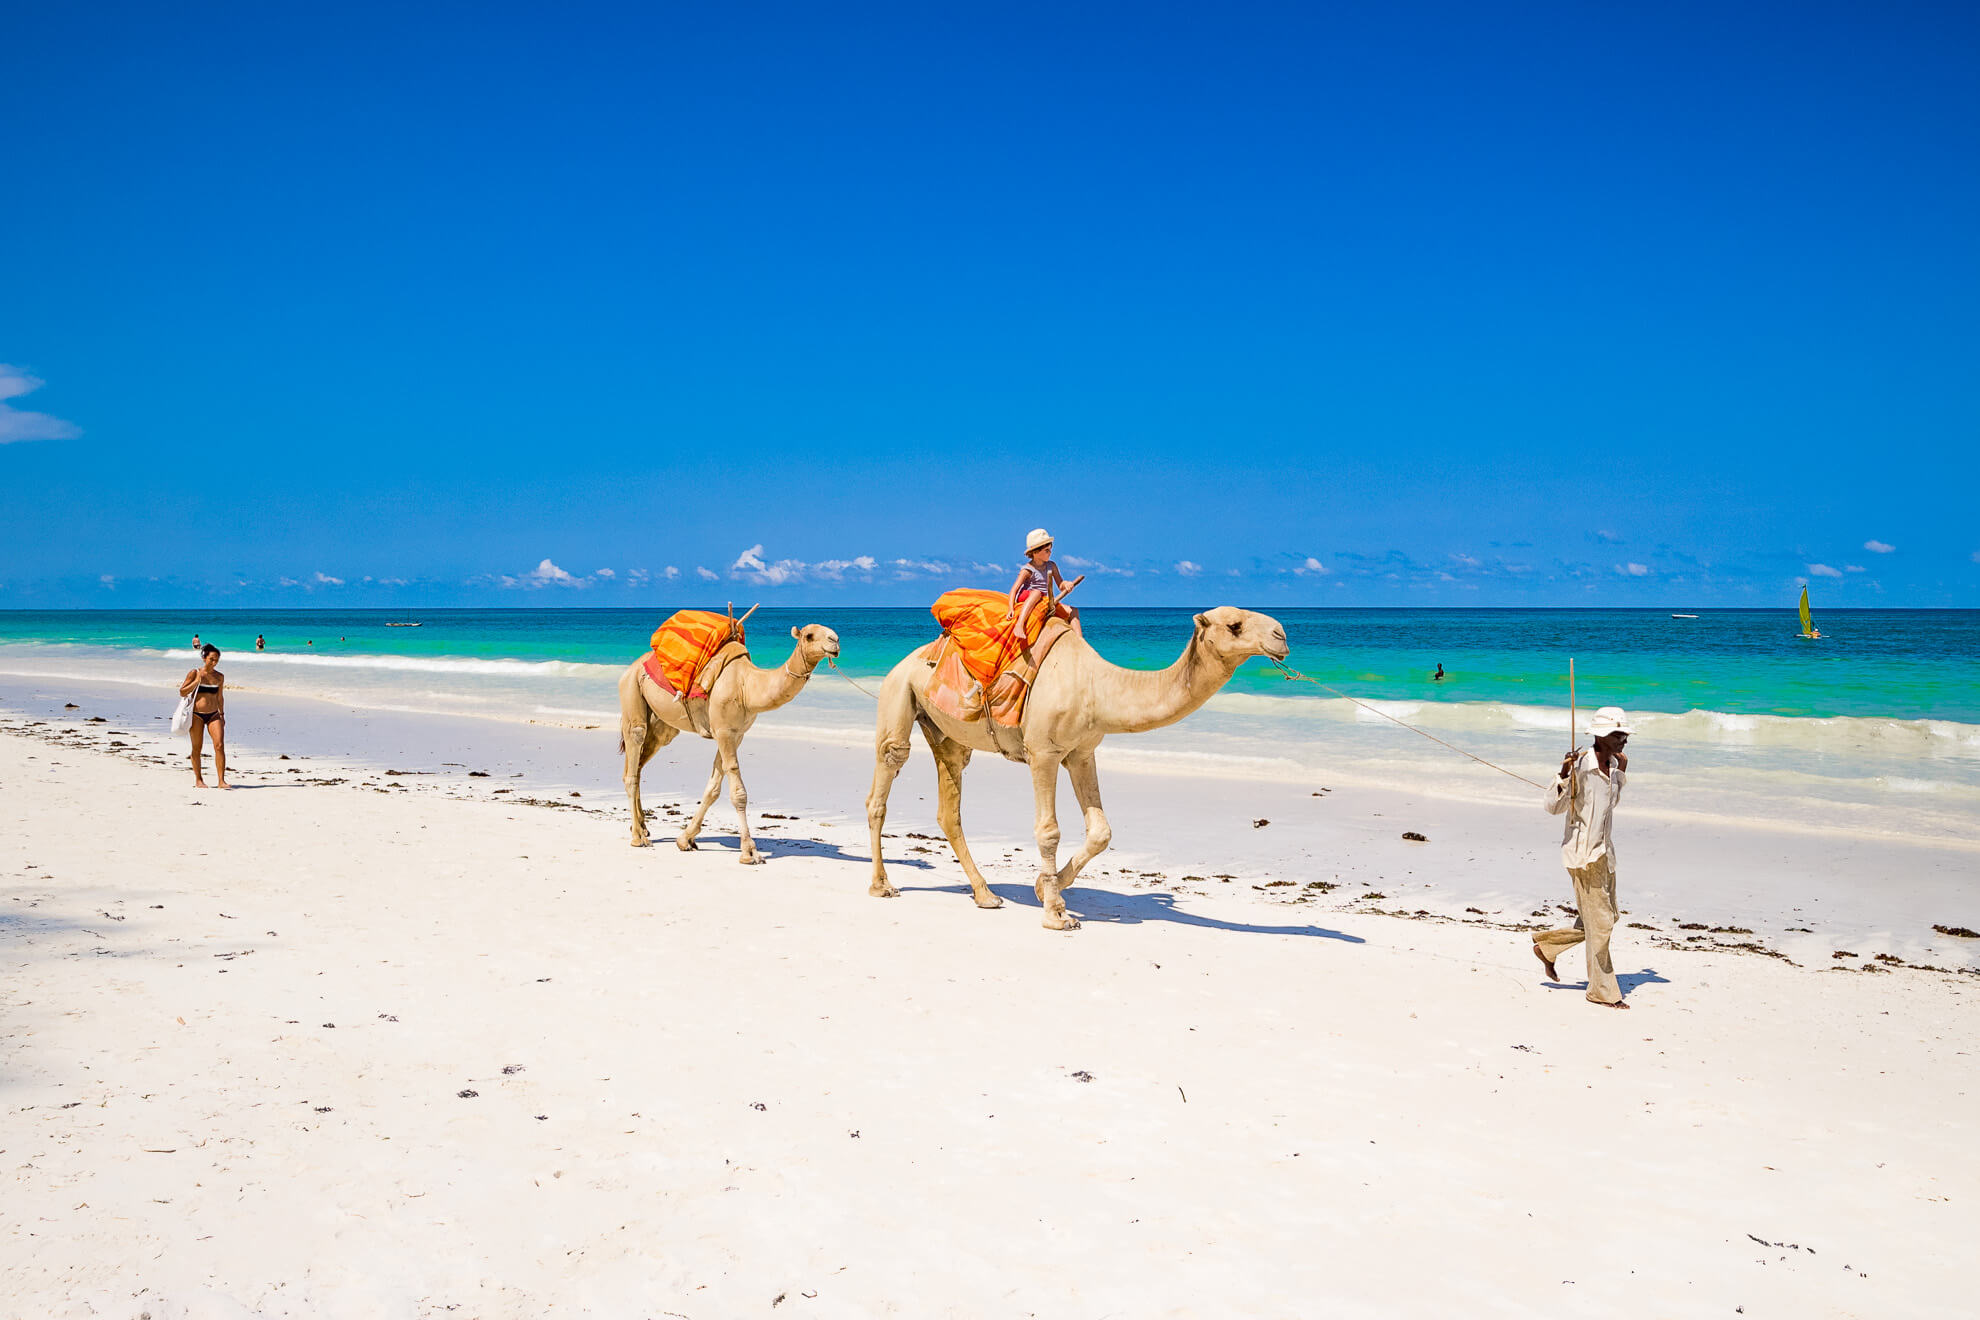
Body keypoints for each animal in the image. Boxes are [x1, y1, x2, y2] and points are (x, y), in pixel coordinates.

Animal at [618, 624, 841, 861]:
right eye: (809, 636)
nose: (834, 641)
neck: (747, 686)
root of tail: (631, 668)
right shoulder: (724, 731)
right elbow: (738, 792)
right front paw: (749, 851)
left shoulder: (735, 734)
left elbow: (714, 787)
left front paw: (685, 839)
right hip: (631, 693)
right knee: (634, 755)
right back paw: (638, 837)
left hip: (662, 725)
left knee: (638, 765)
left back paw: (643, 827)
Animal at [865, 606, 1289, 929]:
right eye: (1234, 625)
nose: (1281, 635)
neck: (1096, 688)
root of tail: (904, 662)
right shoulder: (1043, 753)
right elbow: (1048, 832)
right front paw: (1056, 914)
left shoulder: (1082, 752)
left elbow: (1101, 831)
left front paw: (1041, 886)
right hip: (897, 694)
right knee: (886, 774)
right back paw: (882, 885)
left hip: (948, 734)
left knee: (949, 806)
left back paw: (985, 894)